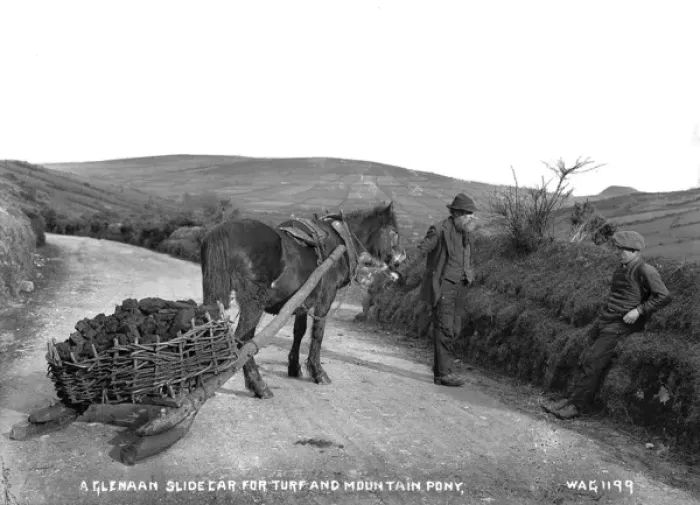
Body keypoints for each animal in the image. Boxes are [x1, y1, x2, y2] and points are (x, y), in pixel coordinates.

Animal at [200, 201, 405, 399]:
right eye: (395, 232)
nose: (401, 259)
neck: (341, 241)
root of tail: (223, 230)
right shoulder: (326, 296)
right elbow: (318, 332)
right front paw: (317, 372)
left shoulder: (303, 299)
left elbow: (299, 331)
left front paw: (294, 367)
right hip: (253, 304)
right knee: (243, 341)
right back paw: (258, 385)